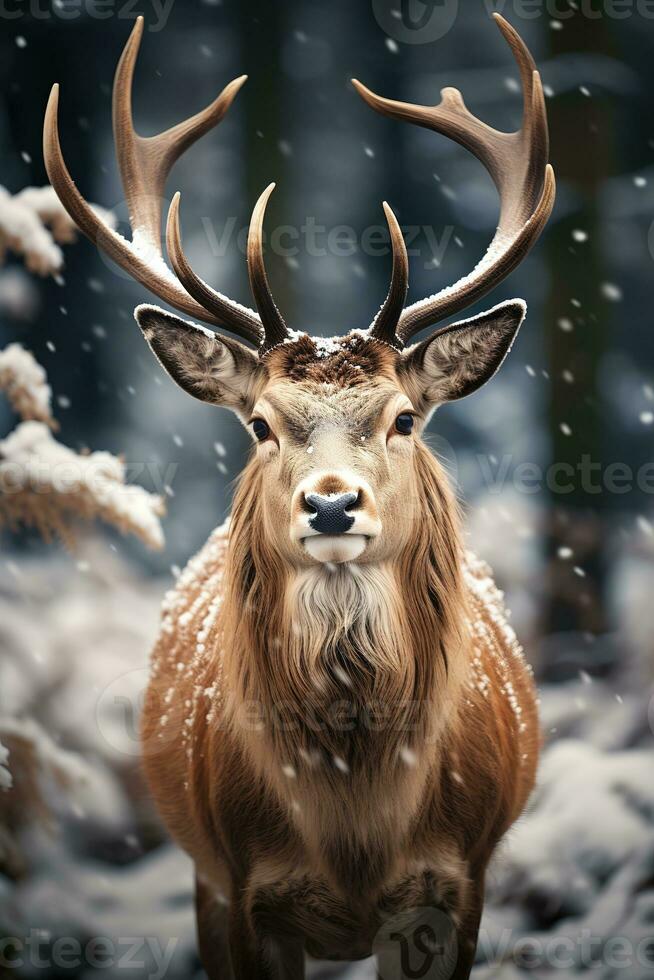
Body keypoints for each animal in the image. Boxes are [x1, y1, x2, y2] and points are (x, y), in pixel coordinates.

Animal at [43, 15, 556, 980]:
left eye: (403, 418)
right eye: (261, 425)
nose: (330, 507)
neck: (354, 836)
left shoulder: (459, 883)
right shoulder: (241, 888)